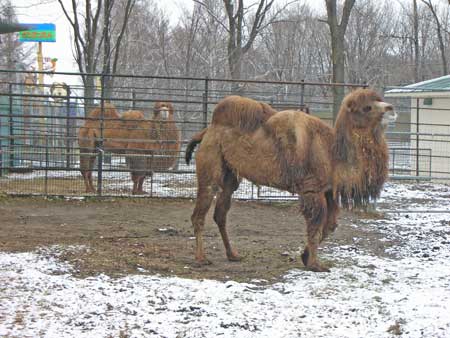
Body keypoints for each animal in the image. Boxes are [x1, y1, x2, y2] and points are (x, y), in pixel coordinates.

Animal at [185, 90, 396, 272]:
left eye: (380, 99)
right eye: (367, 107)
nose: (391, 108)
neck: (333, 152)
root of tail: (207, 131)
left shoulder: (328, 190)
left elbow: (329, 226)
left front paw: (305, 256)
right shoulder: (312, 189)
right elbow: (315, 225)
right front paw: (315, 264)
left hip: (230, 176)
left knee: (220, 213)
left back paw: (233, 254)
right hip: (209, 167)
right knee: (199, 213)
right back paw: (201, 258)